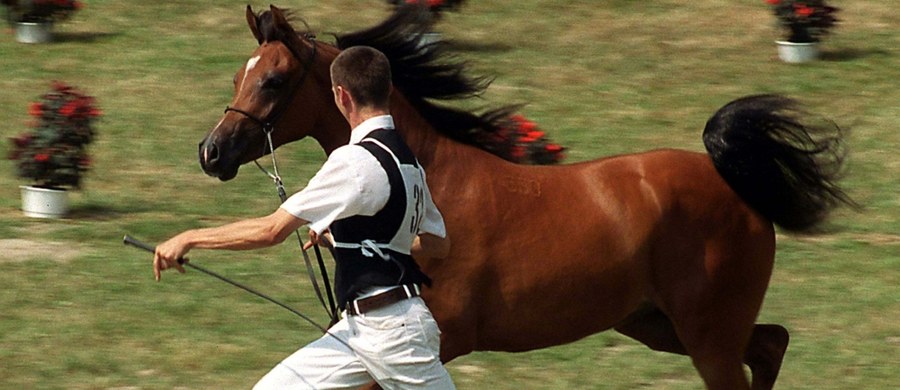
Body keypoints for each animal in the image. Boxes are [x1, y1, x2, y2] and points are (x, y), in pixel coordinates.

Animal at [195, 6, 852, 390]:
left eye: (273, 80)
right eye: (238, 76)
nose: (212, 152)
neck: (435, 178)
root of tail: (730, 181)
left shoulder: (439, 343)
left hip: (706, 334)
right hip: (659, 323)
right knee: (771, 344)